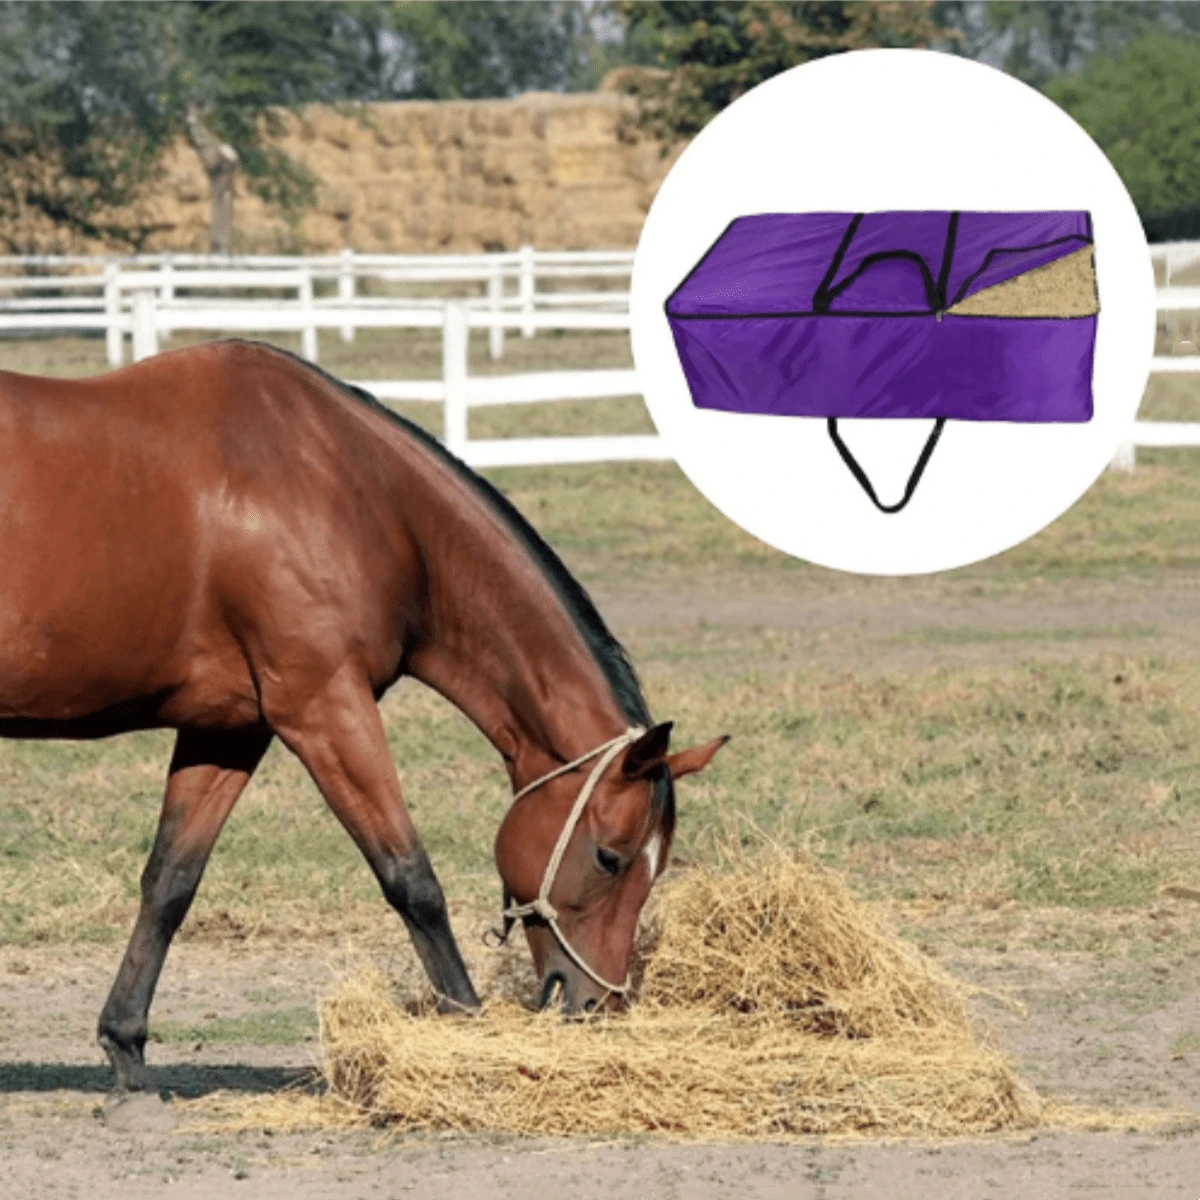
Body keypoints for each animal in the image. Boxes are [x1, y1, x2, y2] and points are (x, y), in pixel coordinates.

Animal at [0, 339, 727, 1102]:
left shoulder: (229, 730)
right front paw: (464, 1032)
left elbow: (170, 881)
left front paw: (127, 1050)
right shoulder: (326, 708)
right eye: (611, 857)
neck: (351, 492)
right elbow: (410, 878)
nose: (595, 1005)